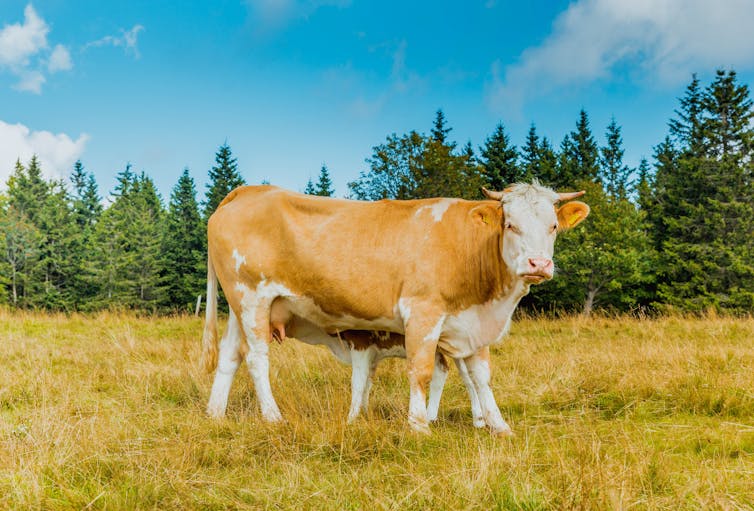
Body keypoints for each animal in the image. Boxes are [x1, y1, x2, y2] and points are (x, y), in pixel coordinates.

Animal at [200, 182, 588, 434]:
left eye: (553, 225)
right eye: (510, 224)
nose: (539, 264)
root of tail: (252, 189)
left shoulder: (472, 325)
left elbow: (481, 377)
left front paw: (498, 425)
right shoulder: (423, 313)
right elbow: (421, 371)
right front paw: (419, 425)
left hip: (239, 306)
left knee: (230, 355)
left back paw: (215, 414)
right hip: (252, 297)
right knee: (257, 358)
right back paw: (273, 417)